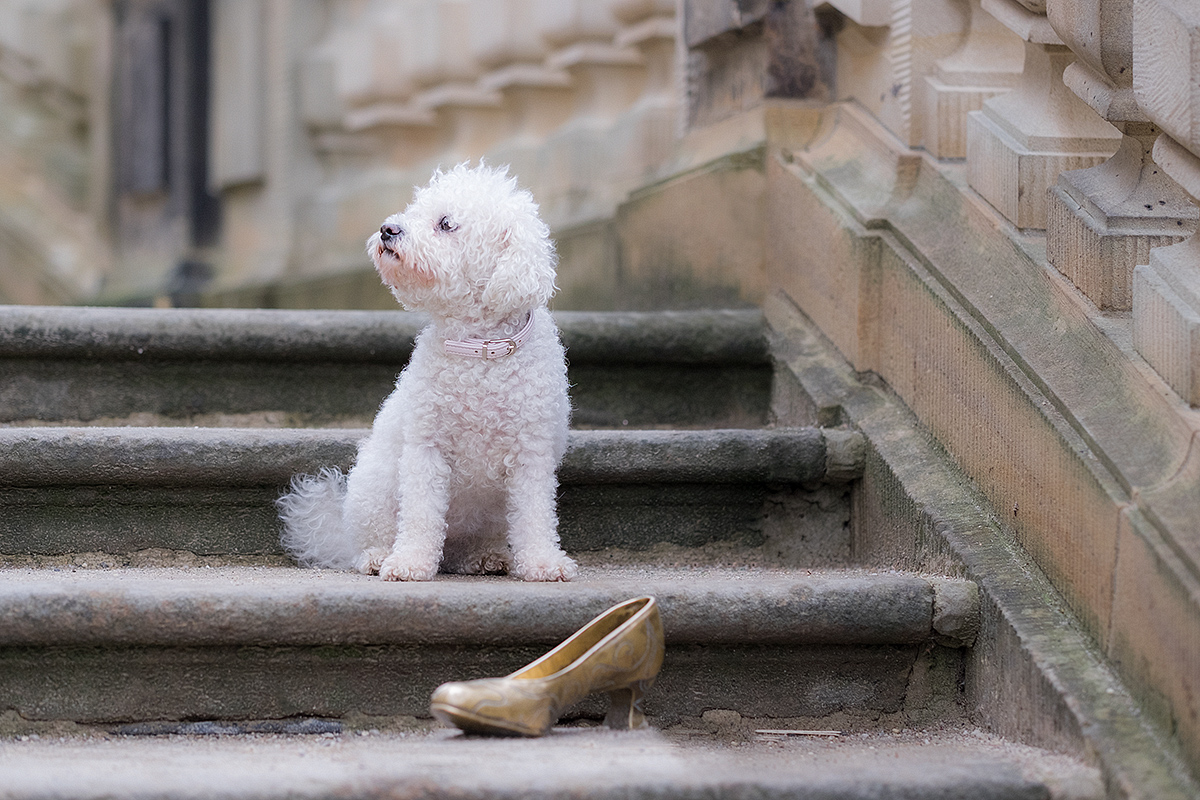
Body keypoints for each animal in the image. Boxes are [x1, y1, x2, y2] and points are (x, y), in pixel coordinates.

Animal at [280, 163, 580, 585]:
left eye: (446, 223)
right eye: (414, 210)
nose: (388, 229)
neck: (478, 352)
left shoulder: (531, 454)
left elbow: (536, 516)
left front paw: (542, 562)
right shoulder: (427, 449)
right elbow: (421, 514)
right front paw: (409, 562)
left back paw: (483, 557)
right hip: (375, 489)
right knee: (372, 538)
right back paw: (378, 556)